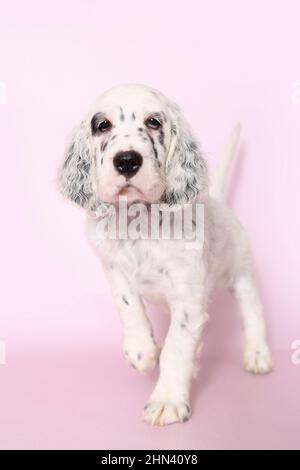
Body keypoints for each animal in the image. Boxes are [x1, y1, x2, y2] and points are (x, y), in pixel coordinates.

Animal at [57, 83, 274, 426]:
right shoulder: (112, 266)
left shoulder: (188, 295)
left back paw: (257, 354)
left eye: (154, 122)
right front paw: (141, 351)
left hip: (241, 269)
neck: (140, 222)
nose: (127, 161)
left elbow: (176, 346)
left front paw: (167, 401)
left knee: (252, 309)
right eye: (102, 125)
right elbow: (127, 305)